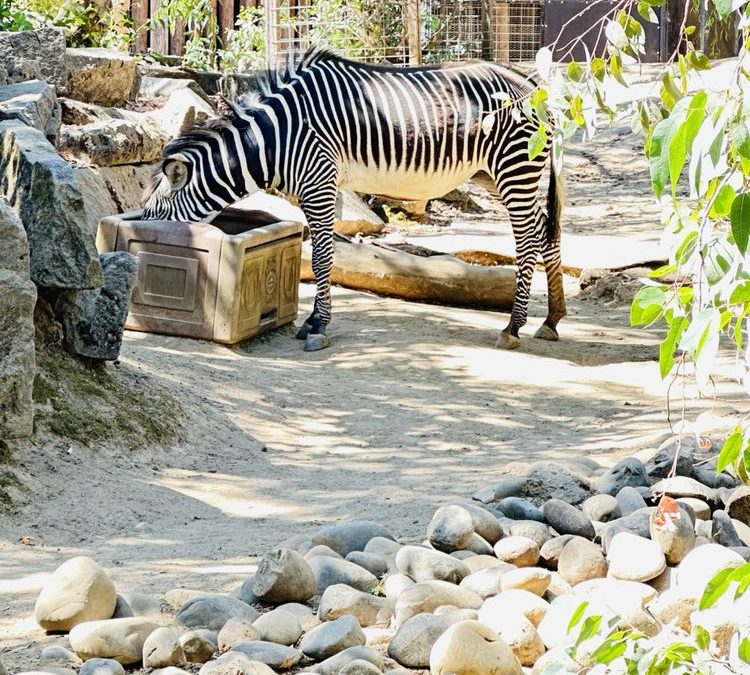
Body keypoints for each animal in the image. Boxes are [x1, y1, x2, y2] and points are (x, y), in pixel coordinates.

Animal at [141, 48, 568, 354]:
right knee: (546, 233)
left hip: (515, 167)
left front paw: (318, 326)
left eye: (154, 214)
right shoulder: (313, 187)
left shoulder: (319, 181)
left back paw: (513, 326)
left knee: (529, 240)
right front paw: (313, 320)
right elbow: (318, 253)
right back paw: (551, 320)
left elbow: (322, 258)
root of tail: (528, 80)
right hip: (495, 173)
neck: (275, 139)